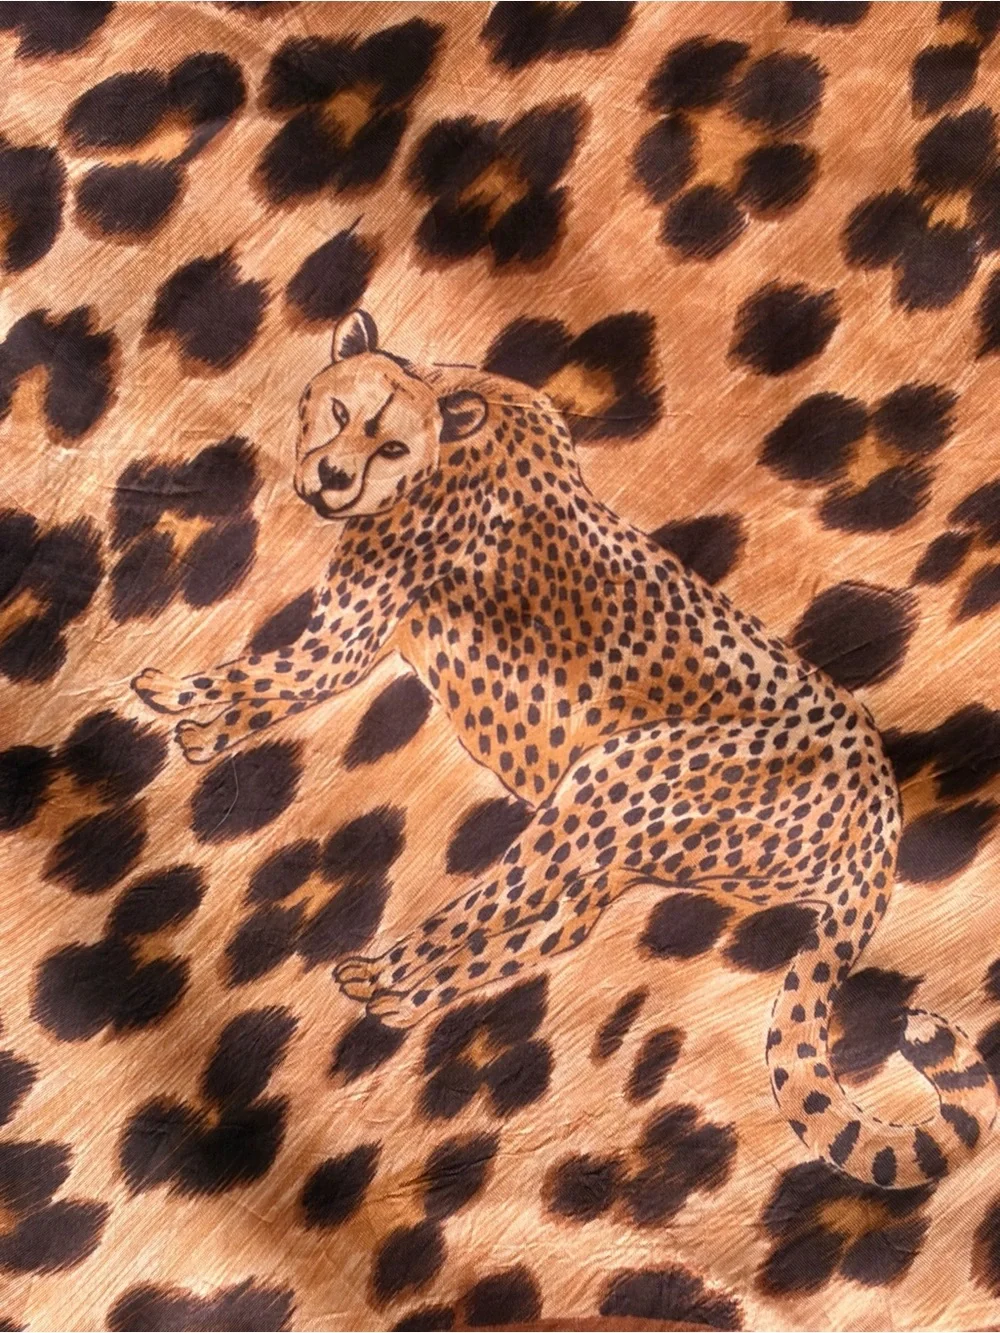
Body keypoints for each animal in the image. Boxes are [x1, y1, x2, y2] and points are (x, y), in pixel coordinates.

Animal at [133, 309, 998, 1193]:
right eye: (340, 412)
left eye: (393, 446)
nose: (332, 477)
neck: (452, 405)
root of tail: (887, 807)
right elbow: (266, 680)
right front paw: (186, 709)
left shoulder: (342, 641)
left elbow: (265, 675)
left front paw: (181, 702)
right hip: (622, 847)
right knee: (552, 926)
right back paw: (410, 995)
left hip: (608, 781)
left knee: (500, 900)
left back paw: (390, 973)